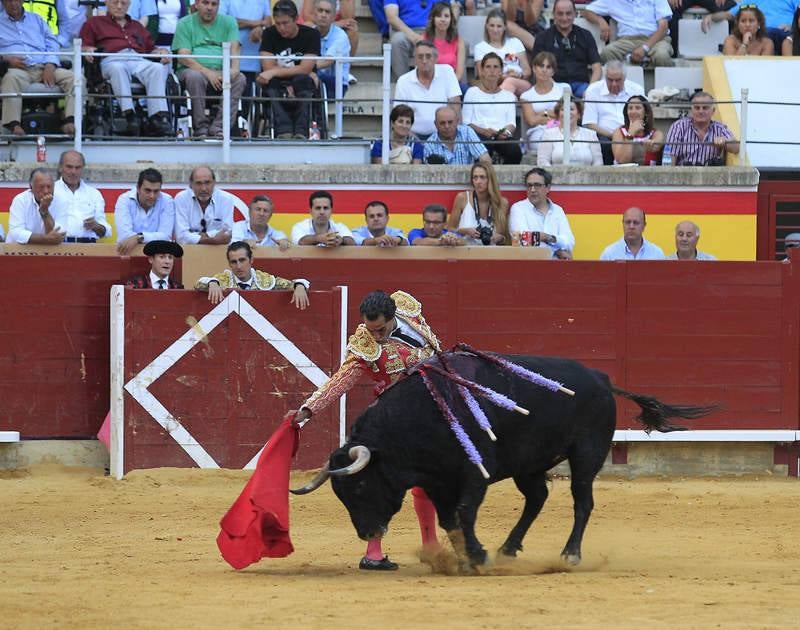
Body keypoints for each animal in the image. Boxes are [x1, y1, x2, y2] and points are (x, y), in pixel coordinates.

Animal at [292, 354, 712, 572]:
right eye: (342, 495)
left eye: (361, 485)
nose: (367, 533)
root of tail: (602, 378)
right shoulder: (438, 481)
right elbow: (449, 519)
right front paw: (465, 558)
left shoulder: (474, 473)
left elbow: (464, 512)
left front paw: (476, 556)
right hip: (530, 464)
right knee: (537, 497)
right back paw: (509, 547)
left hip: (586, 454)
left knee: (582, 501)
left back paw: (570, 554)